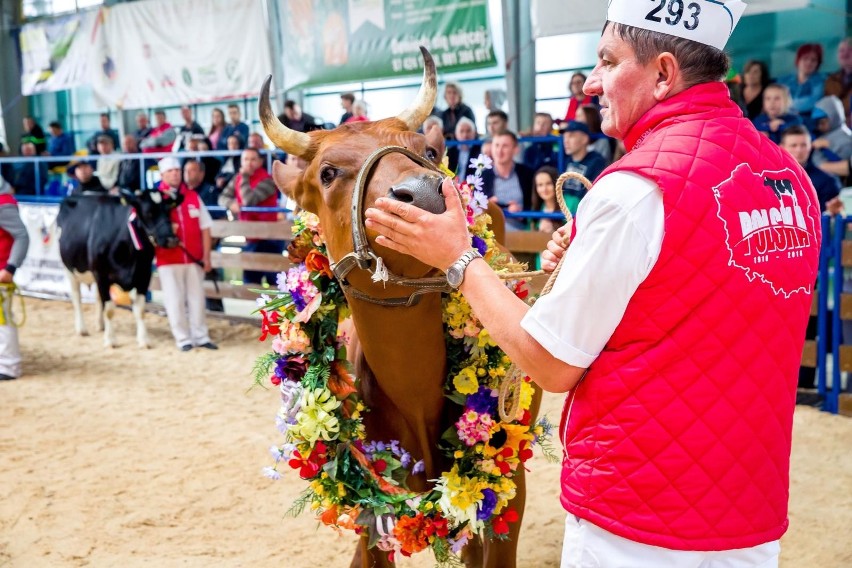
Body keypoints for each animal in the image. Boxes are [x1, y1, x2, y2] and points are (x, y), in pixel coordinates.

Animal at [57, 191, 181, 348]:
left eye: (169, 210)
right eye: (148, 212)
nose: (172, 240)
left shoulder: (144, 274)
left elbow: (140, 309)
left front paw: (144, 340)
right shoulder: (102, 274)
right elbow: (109, 309)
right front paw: (110, 340)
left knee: (97, 298)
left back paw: (100, 325)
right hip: (69, 268)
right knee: (76, 297)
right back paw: (82, 329)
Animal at [262, 48, 540, 568]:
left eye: (427, 151)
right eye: (328, 173)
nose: (426, 191)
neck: (413, 392)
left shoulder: (508, 487)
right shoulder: (368, 501)